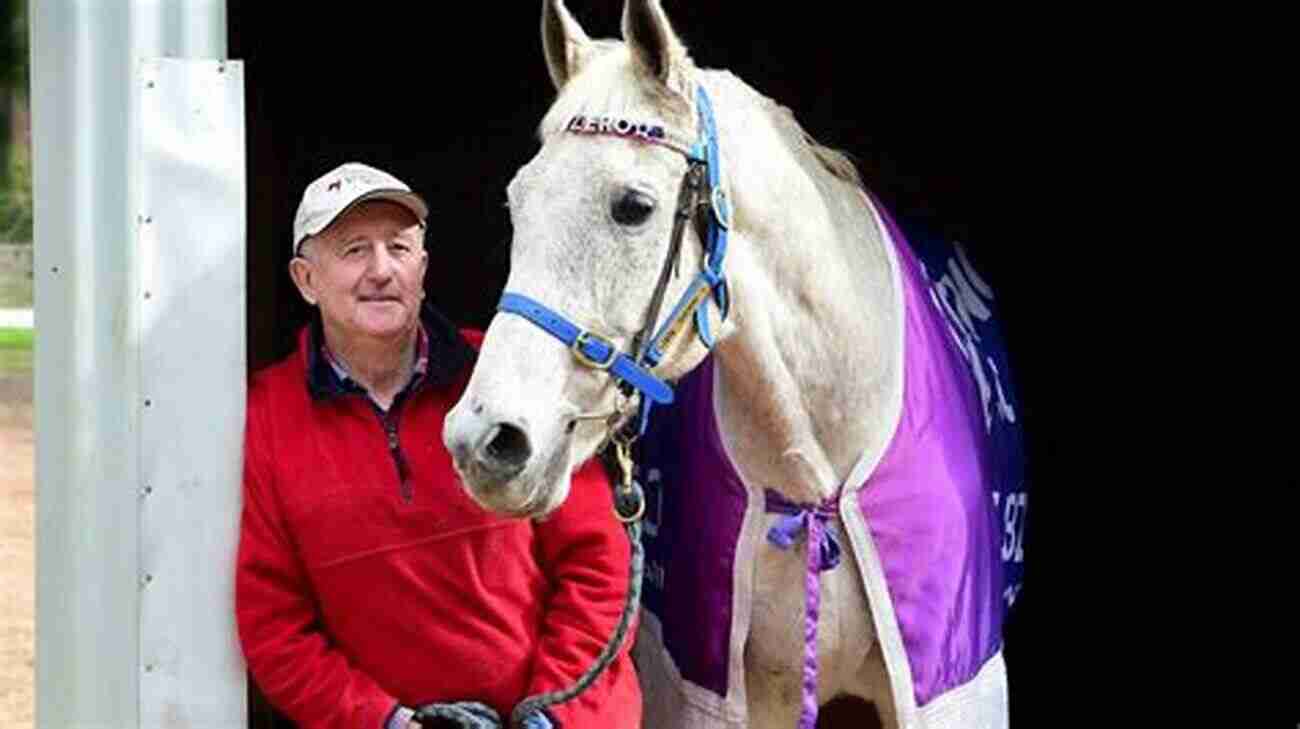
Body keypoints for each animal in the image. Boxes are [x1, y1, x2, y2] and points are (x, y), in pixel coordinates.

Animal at [444, 1, 1013, 727]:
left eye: (634, 206)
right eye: (518, 200)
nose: (484, 440)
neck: (815, 478)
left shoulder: (954, 689)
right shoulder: (707, 693)